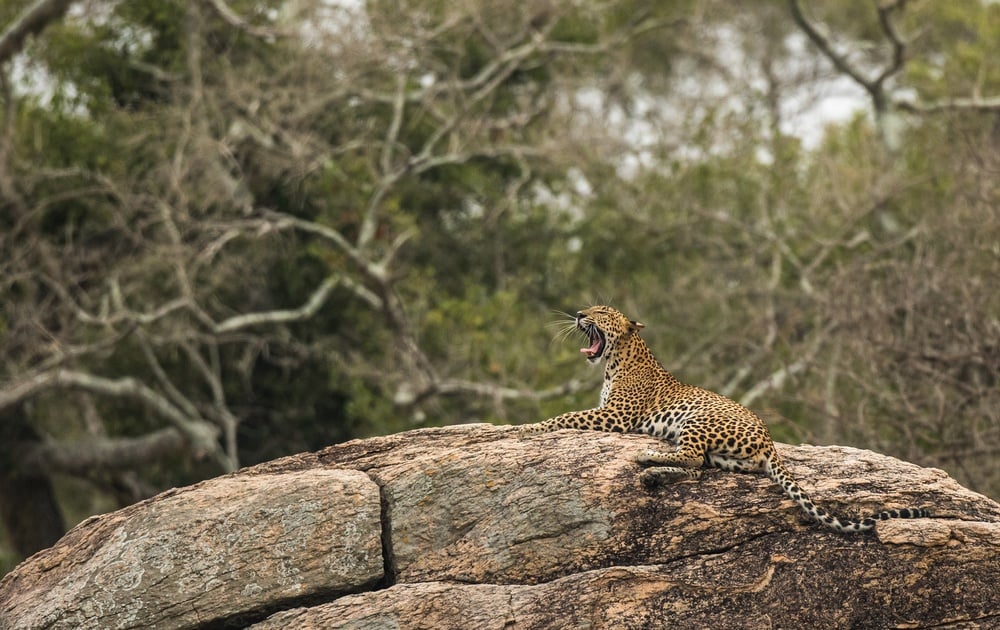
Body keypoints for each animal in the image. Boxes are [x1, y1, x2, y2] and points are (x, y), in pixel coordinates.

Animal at [520, 306, 932, 532]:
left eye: (602, 312)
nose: (578, 314)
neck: (615, 360)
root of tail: (769, 442)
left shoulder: (617, 415)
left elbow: (565, 416)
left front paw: (524, 428)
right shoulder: (610, 413)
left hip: (697, 419)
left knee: (691, 458)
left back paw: (645, 459)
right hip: (723, 456)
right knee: (697, 468)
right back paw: (653, 474)